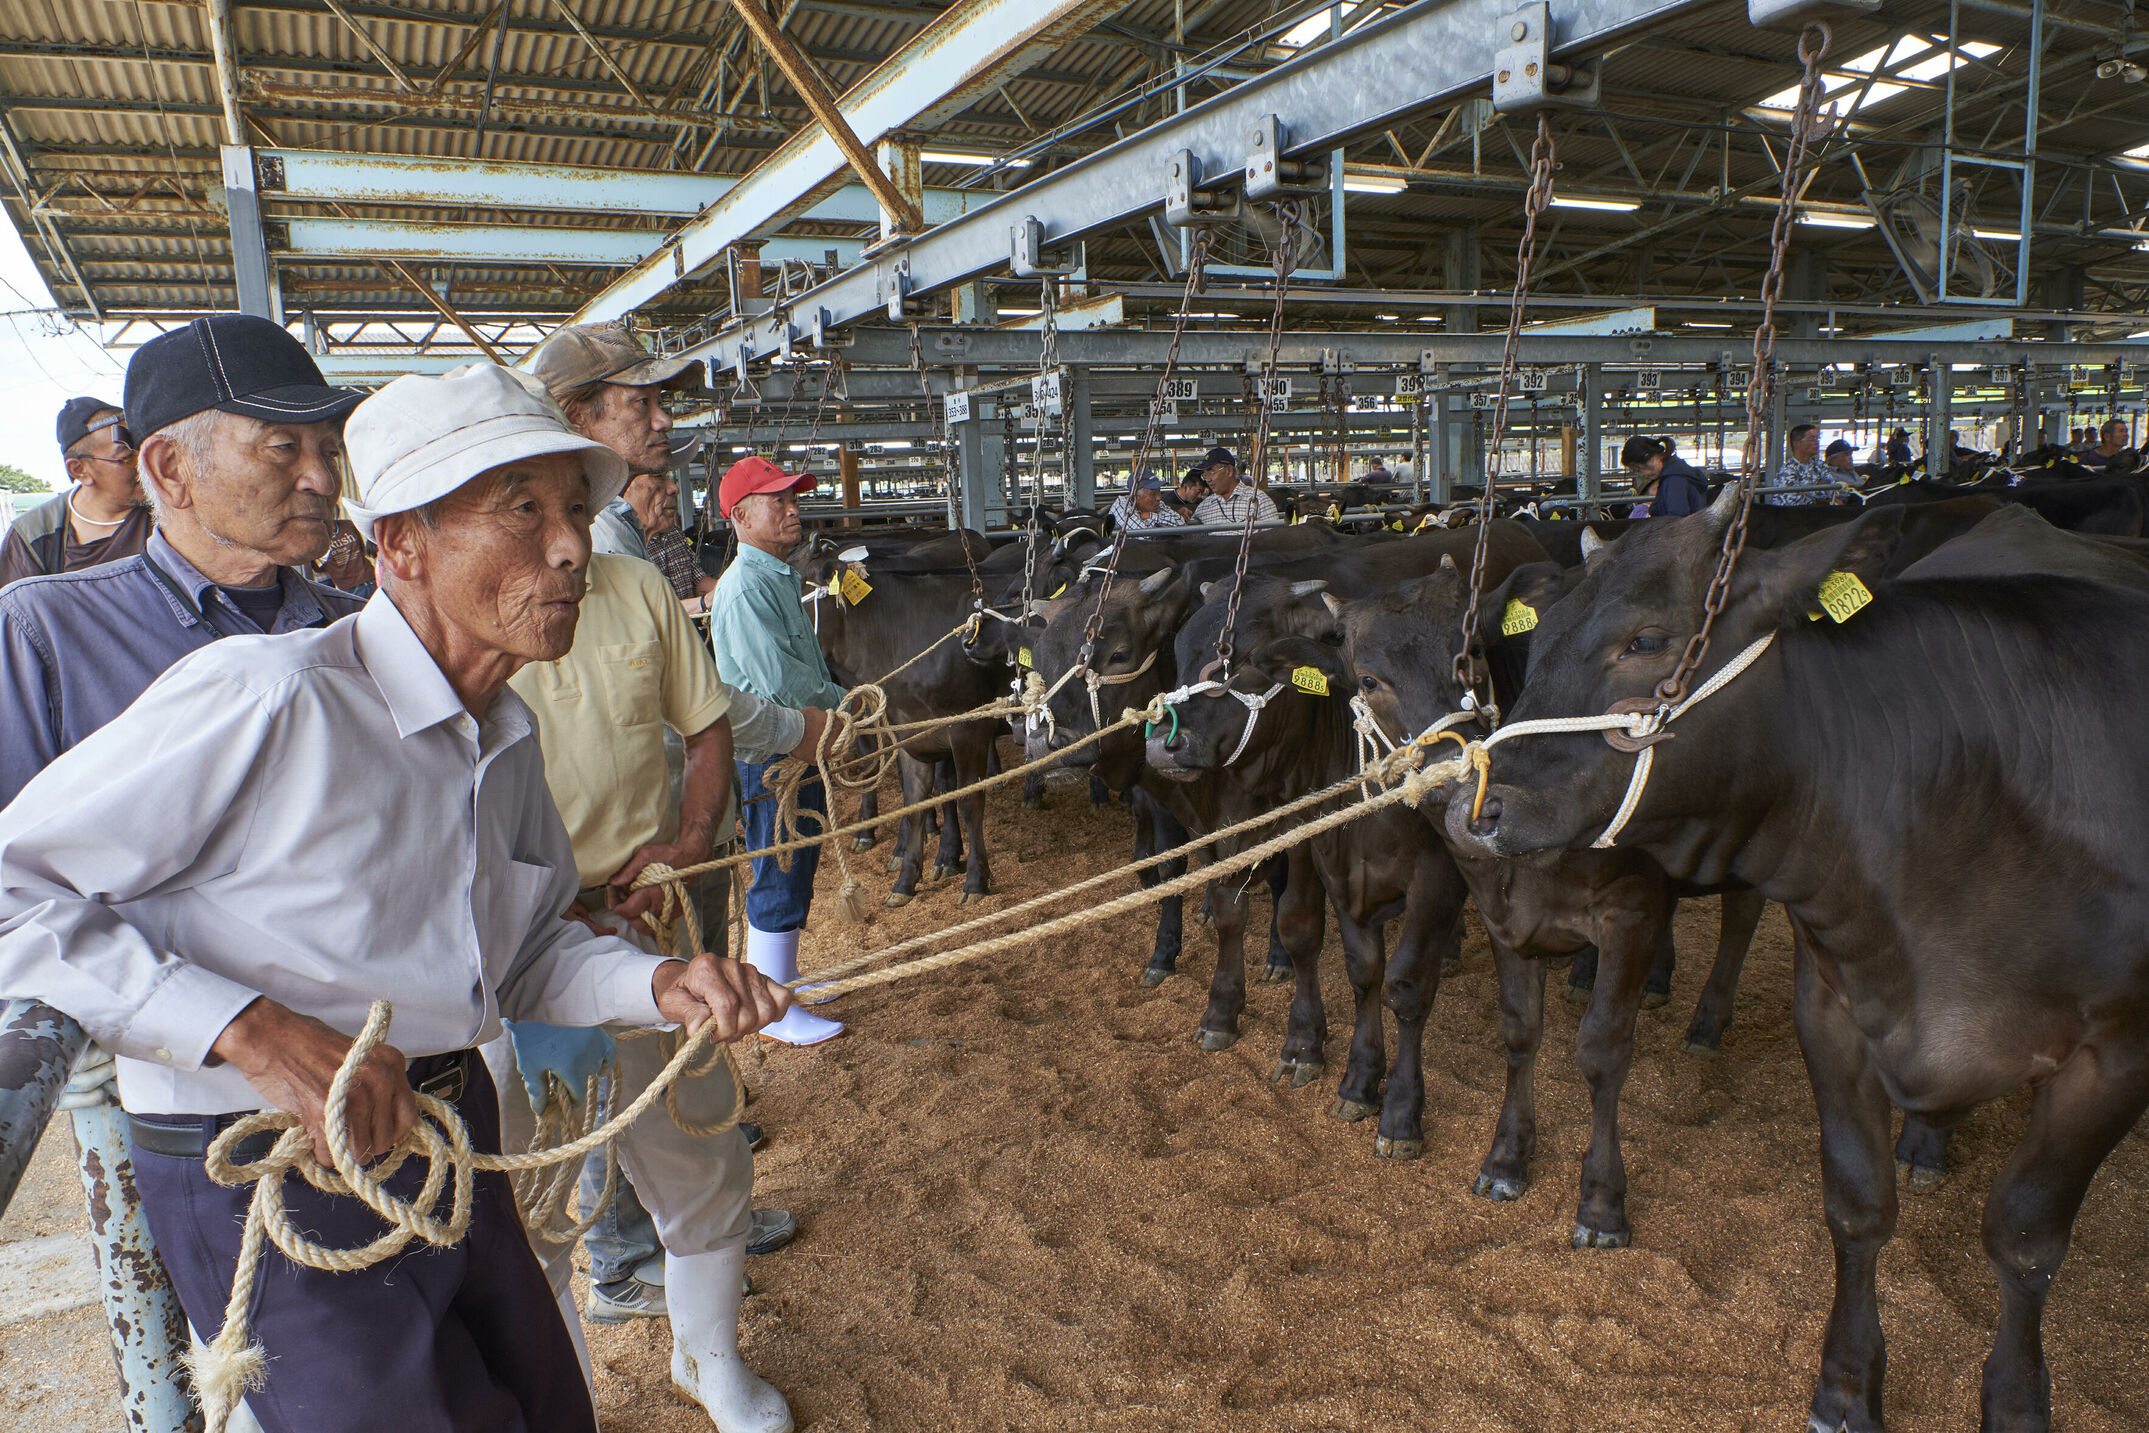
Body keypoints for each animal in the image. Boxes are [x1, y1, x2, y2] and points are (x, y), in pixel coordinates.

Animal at [1452, 489, 2149, 1426]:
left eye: (1646, 639)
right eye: (1541, 634)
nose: (1472, 805)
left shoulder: (2115, 1055)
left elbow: (2026, 1235)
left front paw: (2012, 1399)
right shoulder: (1831, 1006)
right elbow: (1855, 1205)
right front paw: (1846, 1384)